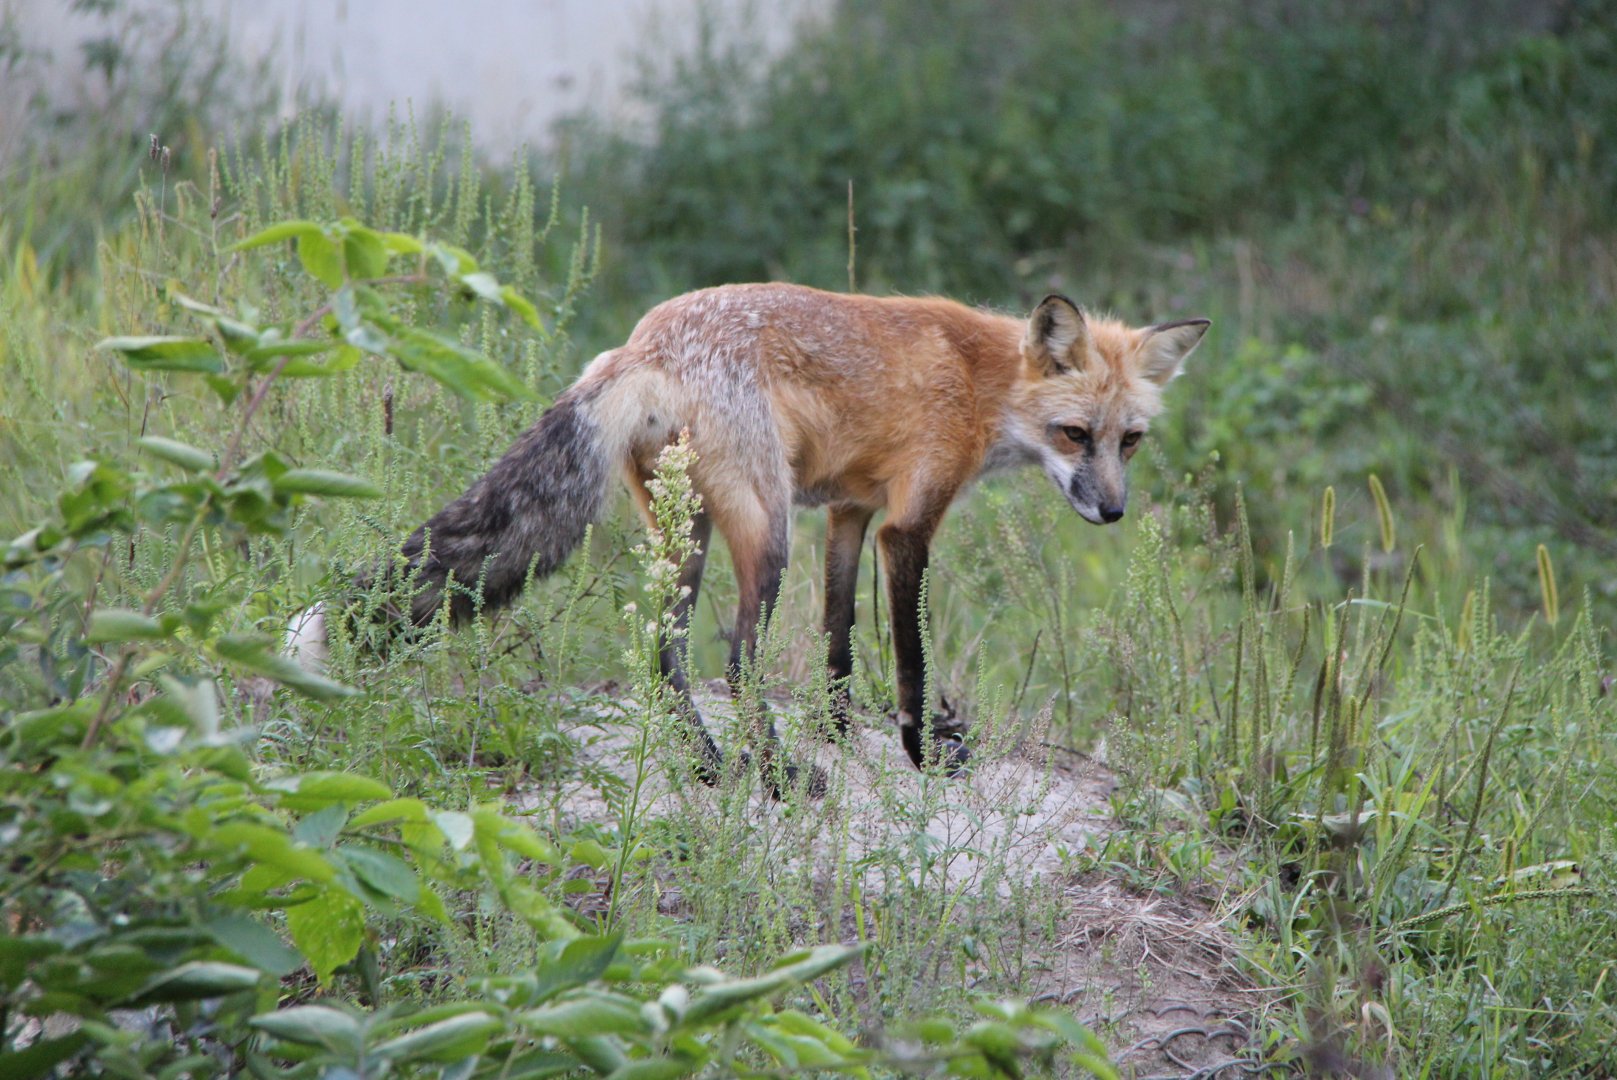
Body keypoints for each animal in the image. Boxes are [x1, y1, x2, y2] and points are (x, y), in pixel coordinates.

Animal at [287, 284, 1207, 791]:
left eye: (1129, 441)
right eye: (1072, 435)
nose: (1112, 513)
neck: (982, 381)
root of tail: (640, 345)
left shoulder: (849, 515)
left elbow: (839, 639)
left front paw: (837, 725)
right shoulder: (906, 524)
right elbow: (908, 656)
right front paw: (917, 752)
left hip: (686, 533)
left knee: (662, 653)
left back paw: (707, 764)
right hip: (765, 532)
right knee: (734, 660)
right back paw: (772, 778)